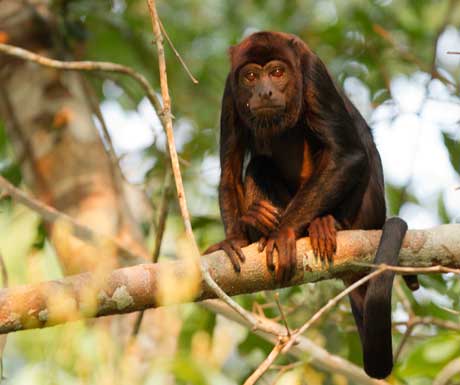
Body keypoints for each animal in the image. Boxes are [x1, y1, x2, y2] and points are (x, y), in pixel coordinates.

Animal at [205, 30, 416, 378]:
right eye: (251, 76)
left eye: (278, 72)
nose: (264, 91)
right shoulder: (228, 92)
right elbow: (231, 171)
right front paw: (234, 239)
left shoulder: (312, 70)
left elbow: (349, 154)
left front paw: (283, 234)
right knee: (258, 165)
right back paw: (258, 223)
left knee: (357, 144)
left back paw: (326, 224)